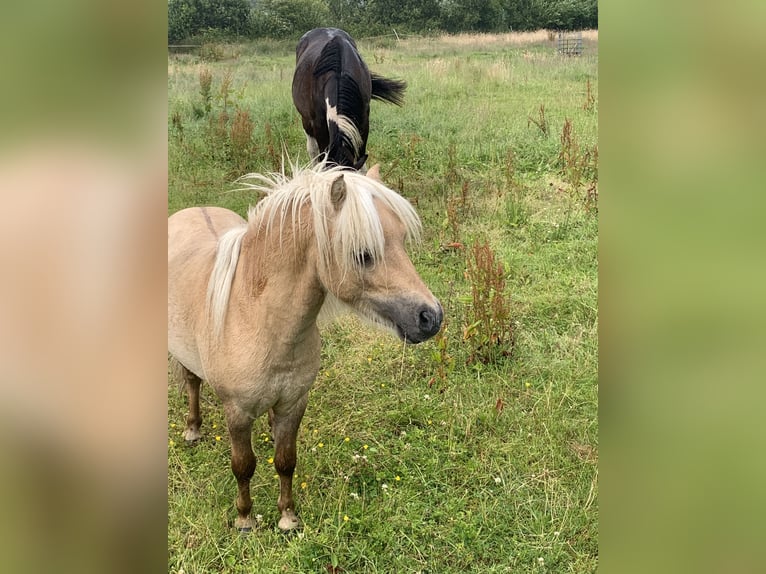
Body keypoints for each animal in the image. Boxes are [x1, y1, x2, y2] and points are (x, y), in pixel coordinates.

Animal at [168, 161, 444, 532]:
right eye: (362, 254)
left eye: (401, 240)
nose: (431, 317)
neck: (256, 320)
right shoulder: (237, 413)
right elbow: (243, 466)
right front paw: (245, 518)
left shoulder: (294, 402)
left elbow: (286, 460)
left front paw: (288, 517)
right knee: (192, 382)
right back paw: (192, 429)